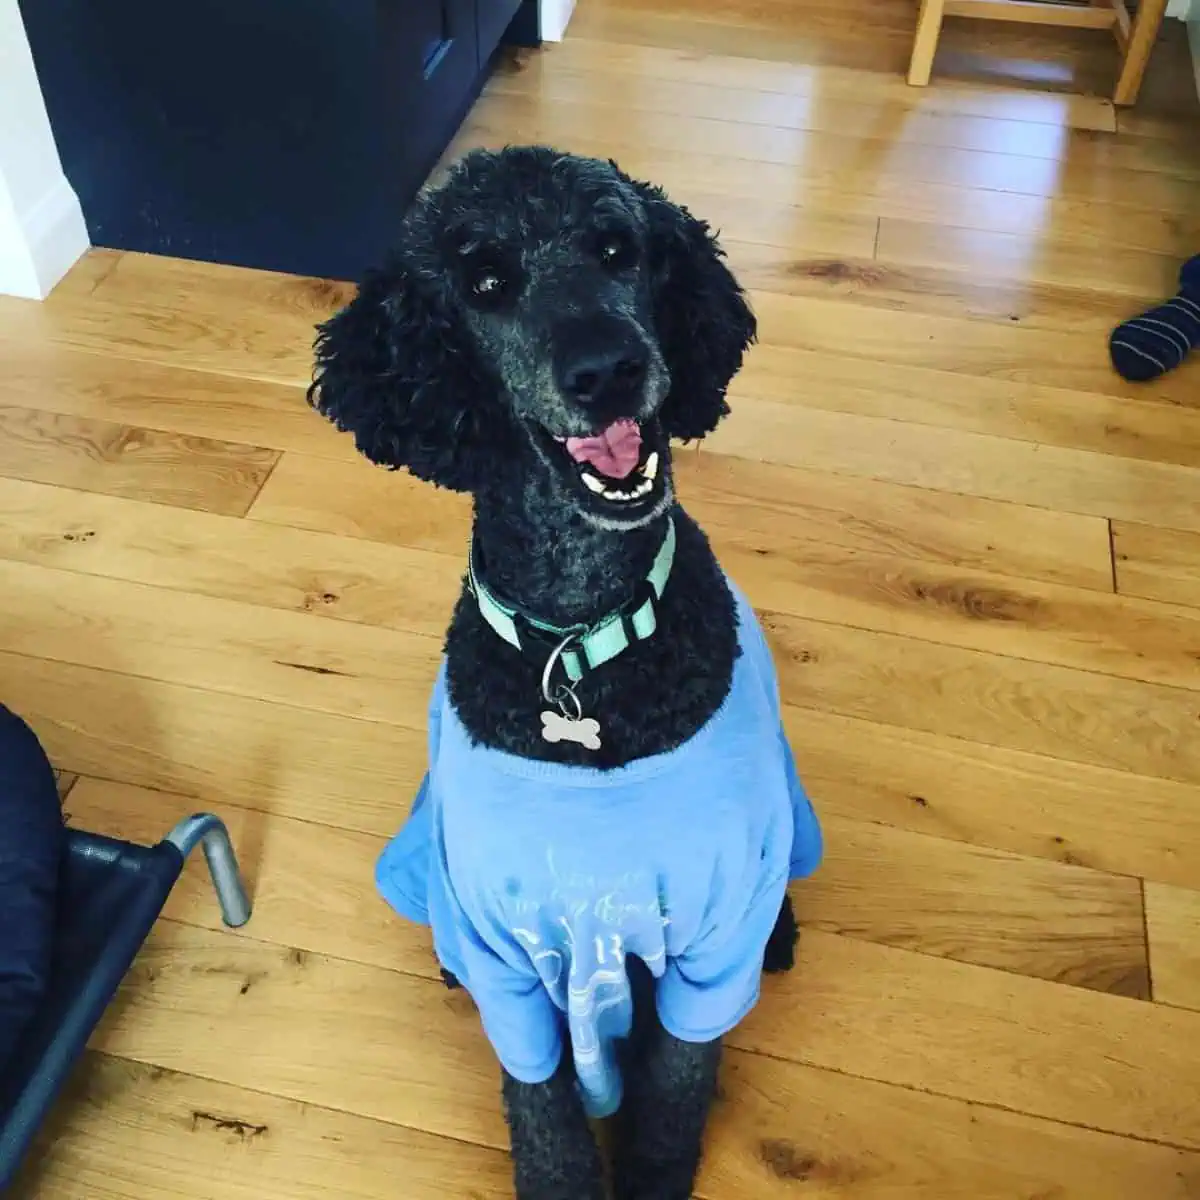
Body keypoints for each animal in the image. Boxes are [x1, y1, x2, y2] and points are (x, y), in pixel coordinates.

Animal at [307, 147, 825, 1200]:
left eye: (617, 247)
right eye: (484, 282)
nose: (606, 370)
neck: (580, 641)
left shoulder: (713, 940)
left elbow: (676, 1081)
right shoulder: (506, 960)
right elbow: (540, 1103)